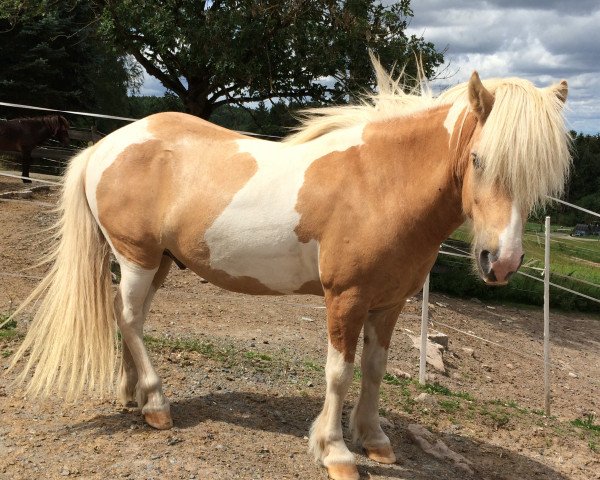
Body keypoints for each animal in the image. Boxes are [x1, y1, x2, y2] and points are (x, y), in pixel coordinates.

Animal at [7, 64, 568, 480]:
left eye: (540, 178)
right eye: (478, 158)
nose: (502, 262)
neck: (382, 183)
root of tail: (104, 145)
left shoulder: (389, 302)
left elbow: (375, 369)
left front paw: (375, 440)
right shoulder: (346, 297)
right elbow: (340, 372)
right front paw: (335, 452)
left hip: (157, 262)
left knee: (131, 318)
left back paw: (135, 398)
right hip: (138, 257)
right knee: (129, 319)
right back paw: (158, 404)